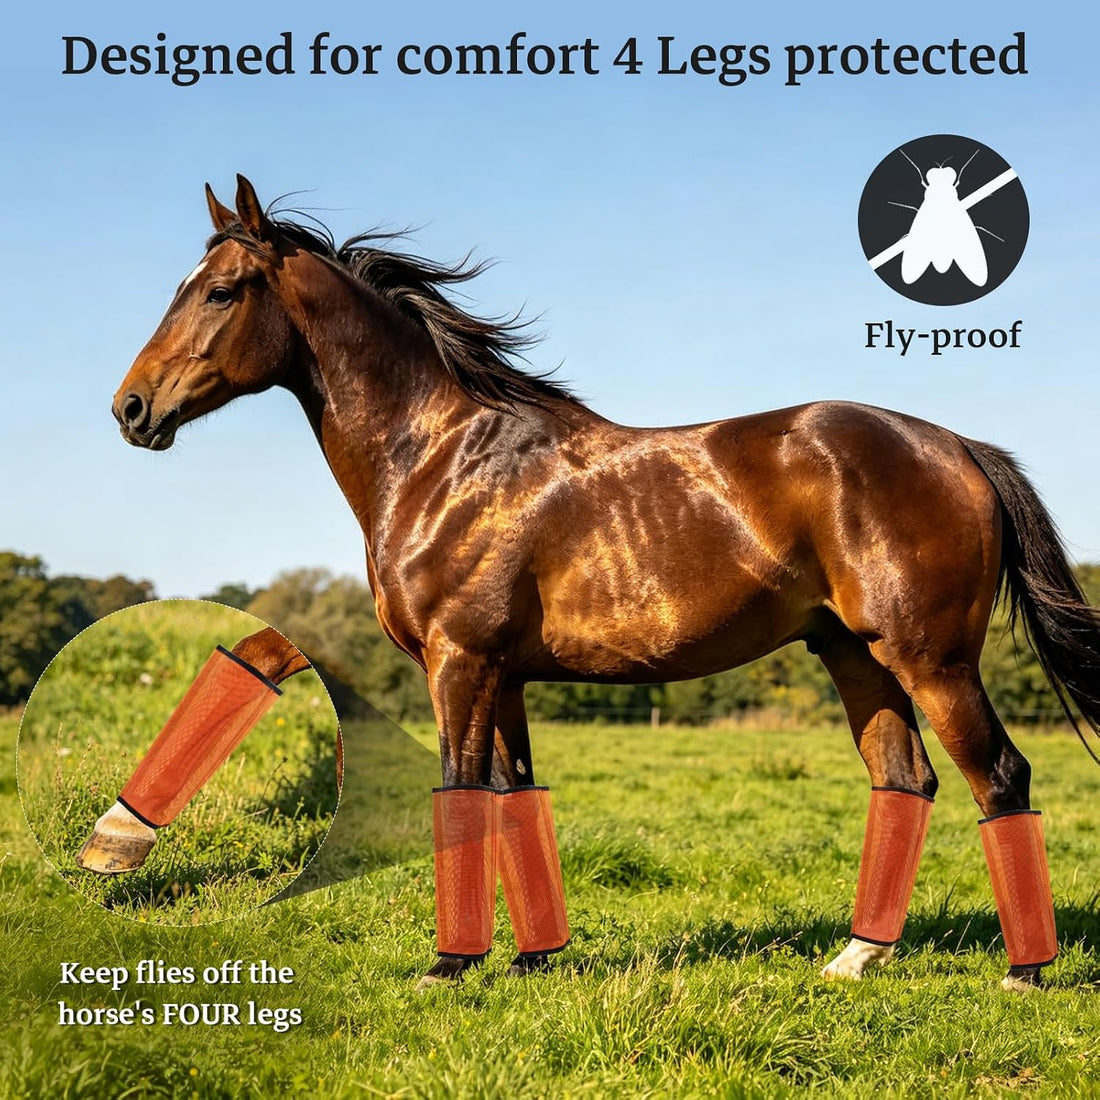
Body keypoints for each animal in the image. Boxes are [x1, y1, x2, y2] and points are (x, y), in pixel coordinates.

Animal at [113, 175, 1100, 991]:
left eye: (221, 290)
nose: (131, 407)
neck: (441, 458)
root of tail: (958, 447)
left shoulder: (458, 663)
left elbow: (459, 791)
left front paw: (448, 965)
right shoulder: (504, 676)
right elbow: (513, 797)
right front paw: (531, 958)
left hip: (931, 660)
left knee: (998, 777)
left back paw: (1024, 973)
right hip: (855, 655)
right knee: (905, 780)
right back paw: (855, 959)